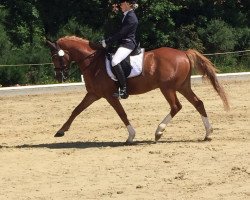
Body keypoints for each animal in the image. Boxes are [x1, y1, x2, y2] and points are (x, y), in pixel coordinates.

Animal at [46, 35, 229, 142]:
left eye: (55, 56)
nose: (59, 77)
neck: (93, 61)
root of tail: (183, 53)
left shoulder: (109, 95)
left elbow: (122, 114)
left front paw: (131, 136)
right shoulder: (93, 94)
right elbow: (76, 110)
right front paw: (61, 131)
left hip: (167, 88)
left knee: (176, 106)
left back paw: (158, 132)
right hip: (182, 86)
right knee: (198, 103)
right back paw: (208, 133)